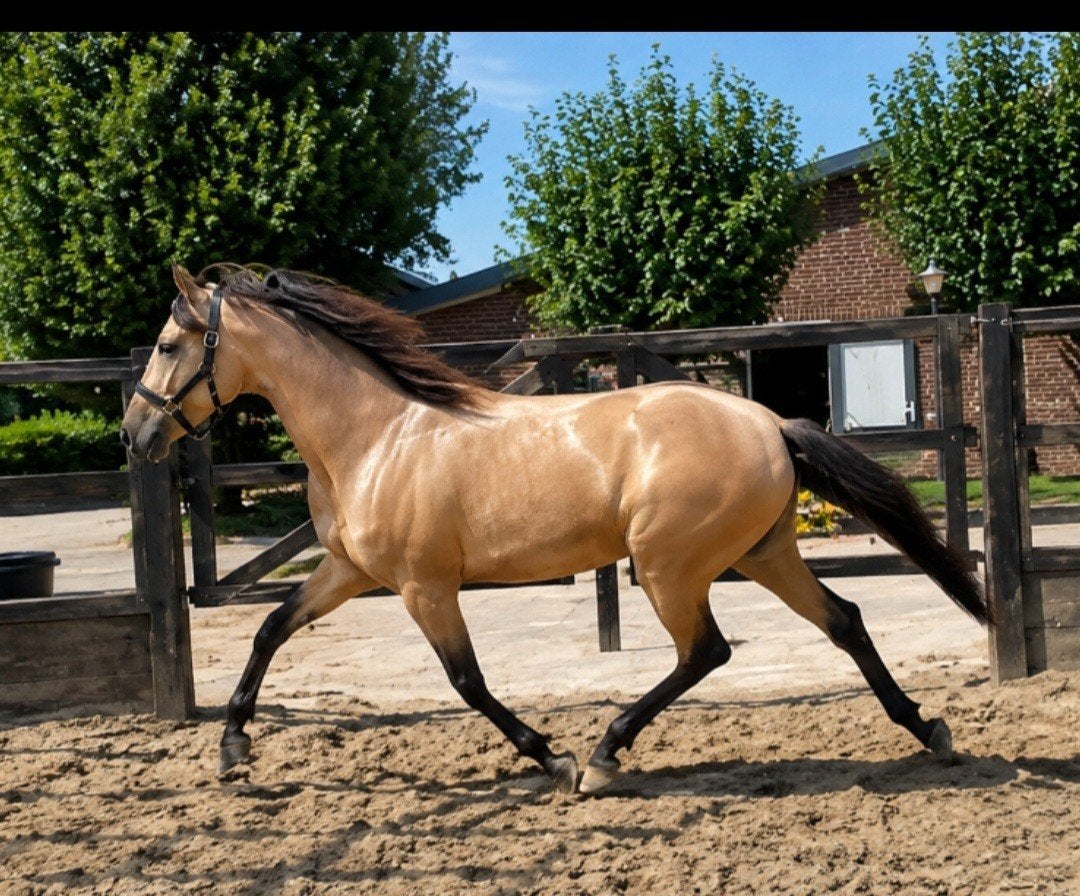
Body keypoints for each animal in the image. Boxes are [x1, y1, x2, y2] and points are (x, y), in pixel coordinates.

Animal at [120, 263, 994, 795]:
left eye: (165, 345)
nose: (132, 435)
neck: (375, 437)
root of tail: (771, 423)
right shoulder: (350, 572)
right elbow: (271, 627)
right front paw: (233, 749)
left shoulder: (423, 586)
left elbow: (467, 682)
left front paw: (552, 756)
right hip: (762, 552)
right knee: (844, 621)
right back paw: (929, 730)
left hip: (669, 564)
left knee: (707, 651)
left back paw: (605, 754)